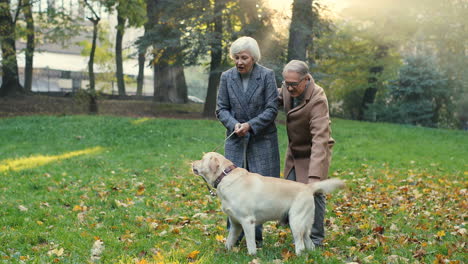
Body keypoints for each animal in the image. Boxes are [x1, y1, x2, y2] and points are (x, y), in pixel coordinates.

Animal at [192, 152, 346, 255]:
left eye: (202, 159)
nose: (192, 163)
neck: (225, 176)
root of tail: (308, 187)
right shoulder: (235, 223)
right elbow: (229, 241)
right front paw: (226, 252)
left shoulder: (248, 221)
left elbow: (250, 243)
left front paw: (251, 256)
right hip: (304, 223)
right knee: (309, 243)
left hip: (295, 221)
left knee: (300, 245)